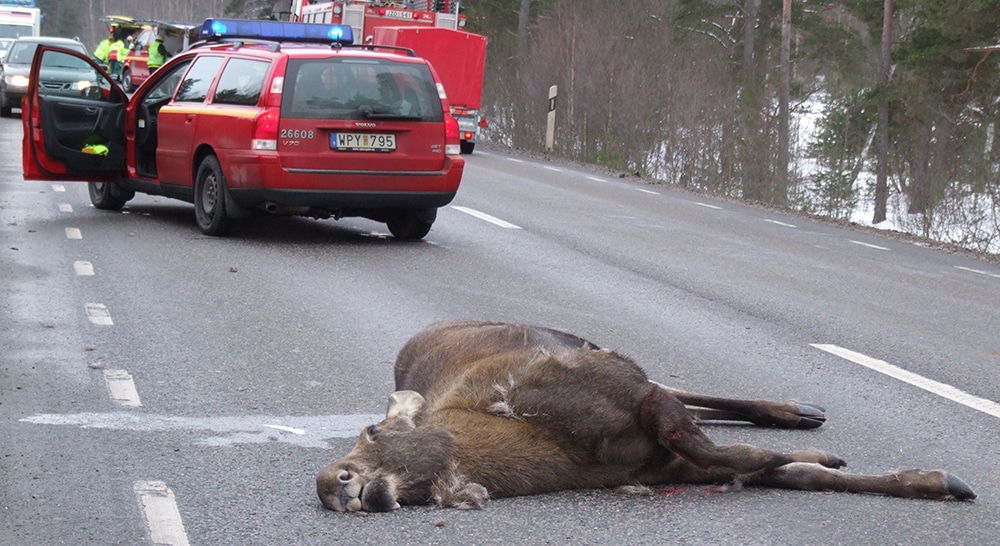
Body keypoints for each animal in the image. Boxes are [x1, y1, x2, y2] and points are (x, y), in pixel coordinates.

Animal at [316, 318, 972, 510]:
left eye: (372, 430)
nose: (332, 483)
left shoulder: (641, 399)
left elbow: (744, 452)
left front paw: (943, 479)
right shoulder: (668, 465)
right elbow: (780, 470)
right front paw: (931, 481)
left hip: (594, 347)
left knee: (696, 393)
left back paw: (799, 410)